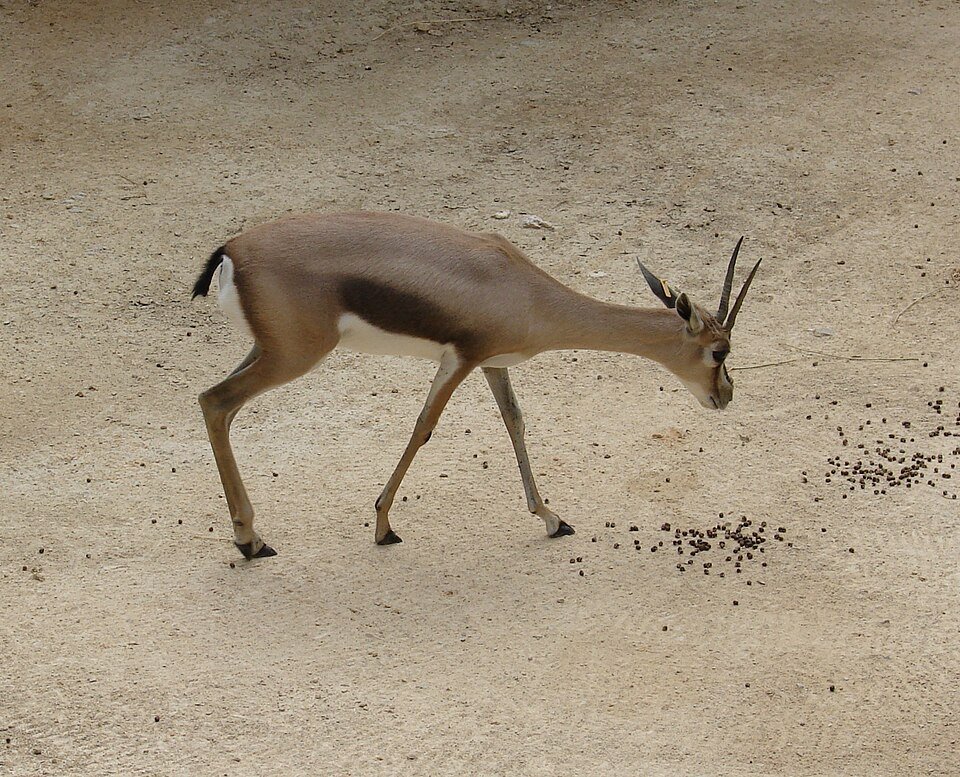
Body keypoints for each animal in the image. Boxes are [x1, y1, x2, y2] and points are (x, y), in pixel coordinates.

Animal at [192, 212, 760, 559]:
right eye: (719, 351)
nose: (725, 396)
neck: (524, 290)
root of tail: (231, 251)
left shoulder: (492, 363)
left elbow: (515, 422)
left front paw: (552, 518)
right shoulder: (461, 359)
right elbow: (423, 428)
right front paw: (384, 527)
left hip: (269, 351)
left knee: (219, 405)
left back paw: (250, 538)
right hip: (294, 357)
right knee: (214, 401)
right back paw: (251, 542)